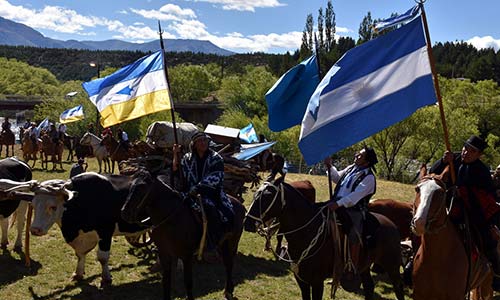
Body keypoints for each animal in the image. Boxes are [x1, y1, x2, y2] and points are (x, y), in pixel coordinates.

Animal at [121, 170, 246, 300]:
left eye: (142, 187)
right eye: (131, 186)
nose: (124, 212)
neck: (171, 219)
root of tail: (240, 204)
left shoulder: (187, 256)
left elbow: (188, 282)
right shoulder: (164, 253)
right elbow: (166, 281)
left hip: (232, 242)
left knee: (229, 264)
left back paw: (229, 291)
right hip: (223, 243)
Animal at [244, 176, 404, 300]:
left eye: (267, 196)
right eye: (255, 194)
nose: (247, 223)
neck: (308, 232)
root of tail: (392, 225)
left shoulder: (317, 281)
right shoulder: (301, 279)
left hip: (392, 266)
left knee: (398, 289)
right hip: (364, 267)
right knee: (369, 287)